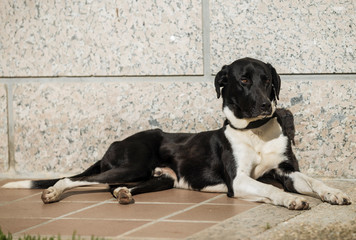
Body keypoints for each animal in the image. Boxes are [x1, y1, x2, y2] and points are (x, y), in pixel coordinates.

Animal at [2, 58, 352, 210]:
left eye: (268, 80)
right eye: (244, 81)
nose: (267, 105)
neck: (256, 133)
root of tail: (116, 143)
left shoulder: (286, 171)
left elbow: (313, 182)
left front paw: (333, 193)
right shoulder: (238, 182)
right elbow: (272, 190)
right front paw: (290, 200)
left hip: (160, 178)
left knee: (114, 187)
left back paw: (123, 195)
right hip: (132, 165)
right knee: (74, 179)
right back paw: (53, 193)